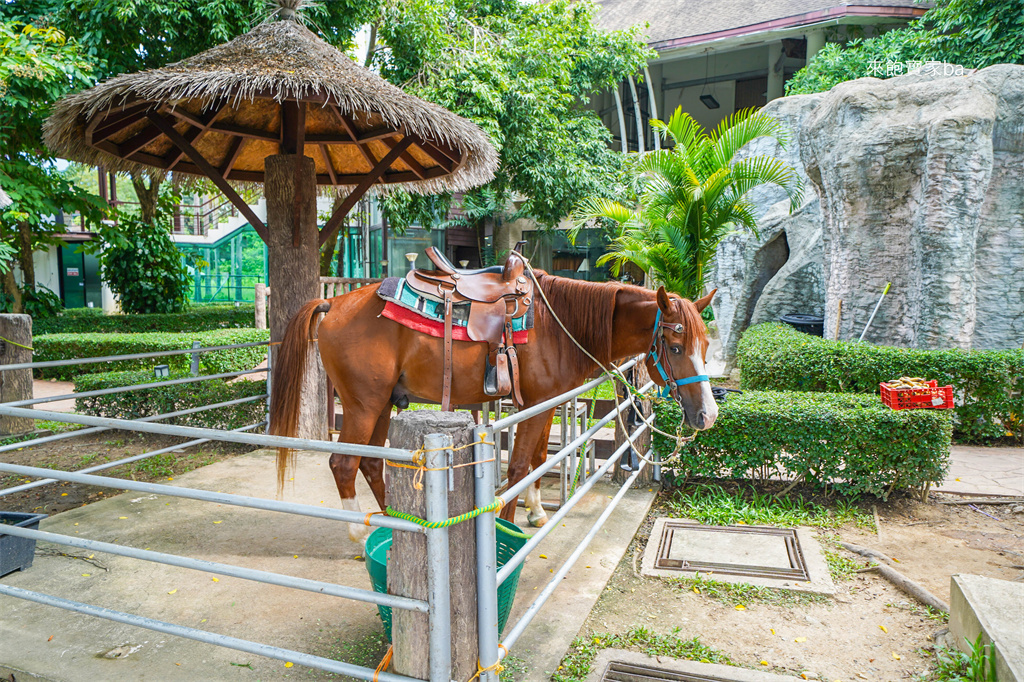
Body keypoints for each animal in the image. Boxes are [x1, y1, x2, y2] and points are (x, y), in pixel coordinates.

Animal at [272, 270, 720, 540]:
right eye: (675, 347)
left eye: (705, 345)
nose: (708, 415)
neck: (560, 326)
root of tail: (334, 303)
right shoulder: (536, 404)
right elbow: (519, 466)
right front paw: (508, 532)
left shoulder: (547, 403)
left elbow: (539, 458)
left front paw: (536, 512)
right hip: (363, 404)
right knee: (343, 463)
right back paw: (359, 533)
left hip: (381, 404)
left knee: (369, 463)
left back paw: (399, 524)